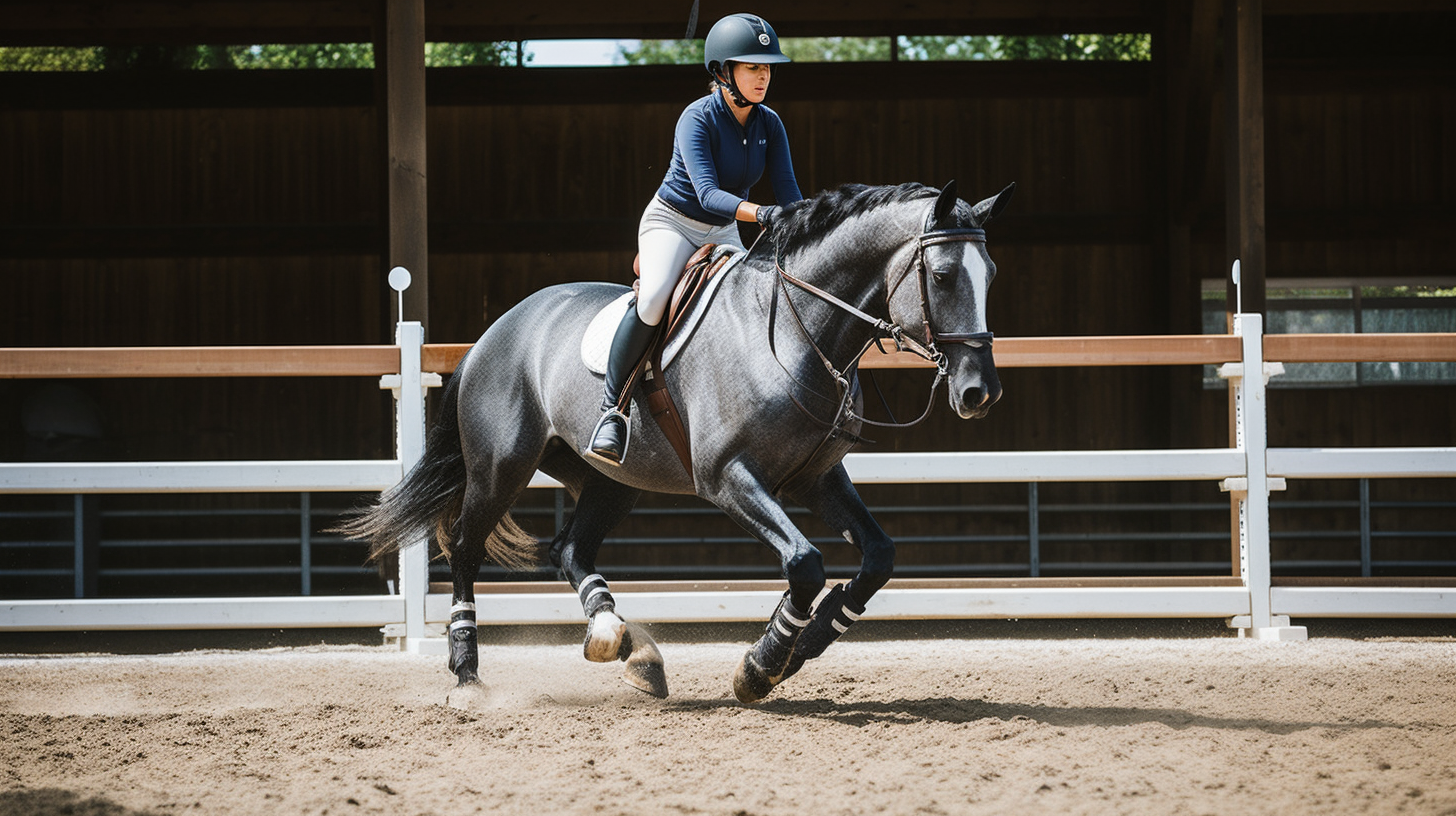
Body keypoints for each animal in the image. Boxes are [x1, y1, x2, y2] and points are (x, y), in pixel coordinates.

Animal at [342, 181, 1019, 705]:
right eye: (942, 275)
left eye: (990, 274)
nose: (979, 392)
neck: (799, 330)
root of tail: (495, 330)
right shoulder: (728, 478)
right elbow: (804, 562)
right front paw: (761, 666)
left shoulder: (814, 477)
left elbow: (877, 557)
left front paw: (810, 640)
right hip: (501, 466)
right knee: (464, 549)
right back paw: (467, 672)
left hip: (610, 479)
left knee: (570, 549)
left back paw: (626, 645)